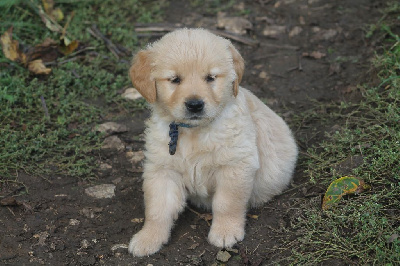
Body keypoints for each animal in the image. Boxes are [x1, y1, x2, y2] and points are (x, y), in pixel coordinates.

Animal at [127, 28, 296, 256]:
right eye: (175, 79)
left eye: (210, 78)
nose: (195, 105)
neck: (193, 132)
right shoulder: (162, 169)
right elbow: (157, 208)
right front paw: (148, 237)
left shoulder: (235, 165)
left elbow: (227, 203)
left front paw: (225, 232)